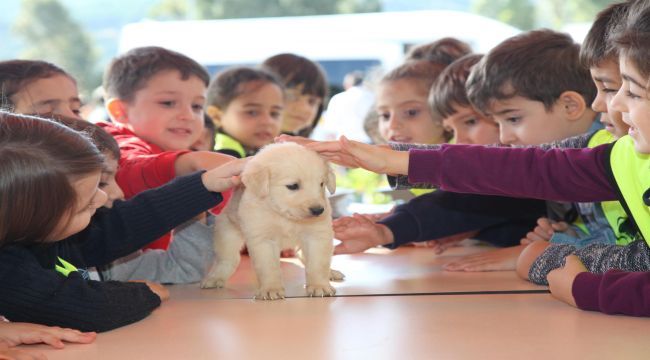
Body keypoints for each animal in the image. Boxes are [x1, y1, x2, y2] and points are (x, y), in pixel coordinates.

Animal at [201, 142, 340, 300]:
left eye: (321, 184)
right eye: (293, 186)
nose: (318, 211)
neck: (284, 216)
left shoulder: (317, 236)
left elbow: (318, 264)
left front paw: (319, 286)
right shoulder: (263, 240)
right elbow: (268, 267)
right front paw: (270, 289)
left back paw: (331, 273)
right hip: (227, 234)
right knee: (227, 260)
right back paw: (214, 278)